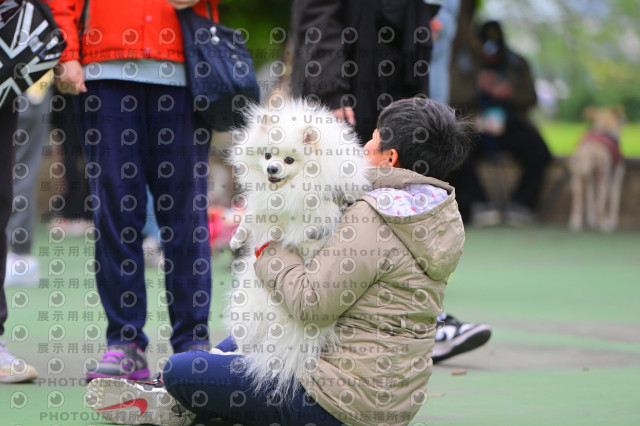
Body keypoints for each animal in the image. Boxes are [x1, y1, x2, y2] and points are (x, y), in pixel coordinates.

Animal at [226, 98, 370, 399]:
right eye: (268, 155)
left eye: (289, 160)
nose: (272, 169)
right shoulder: (267, 201)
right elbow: (253, 213)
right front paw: (237, 238)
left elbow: (316, 216)